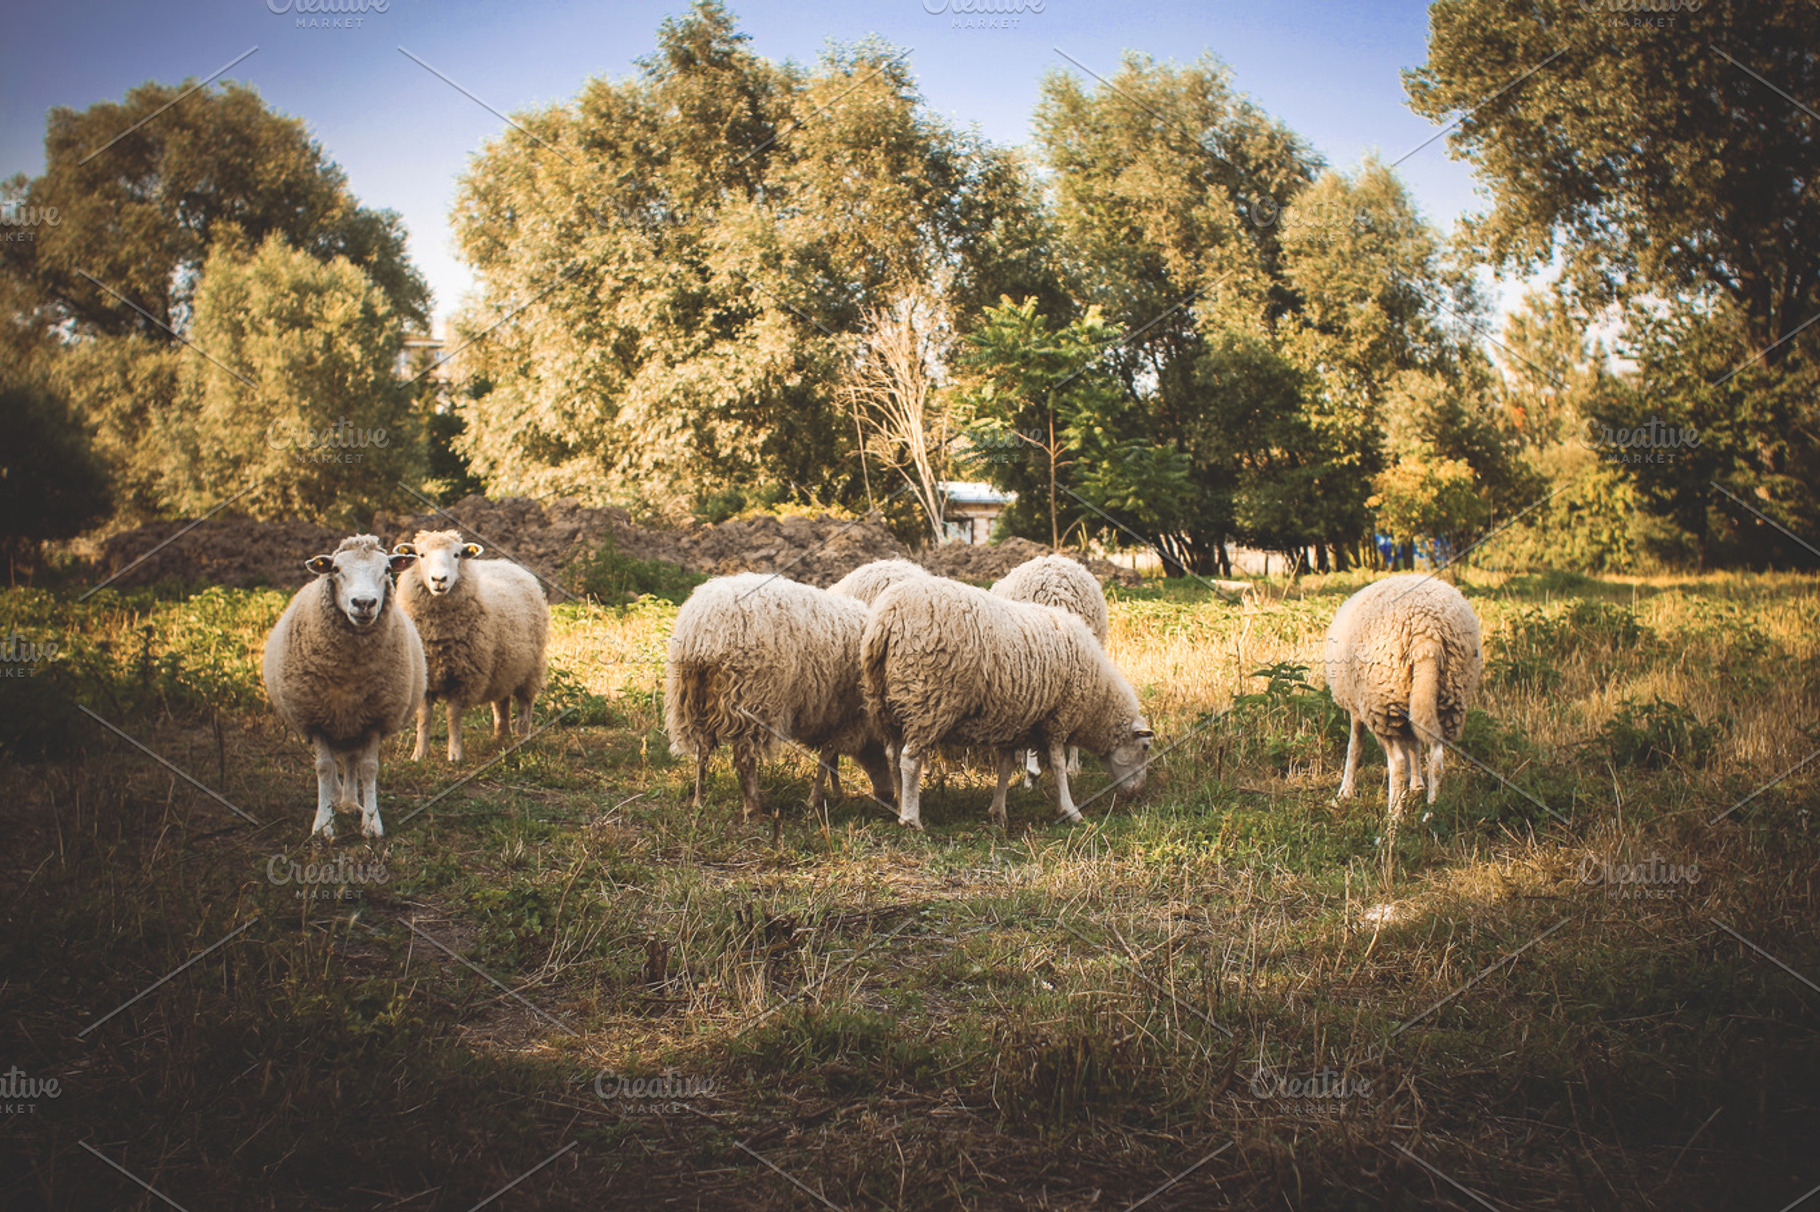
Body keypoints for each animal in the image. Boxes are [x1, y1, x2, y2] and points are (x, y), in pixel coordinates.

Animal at [263, 535, 427, 842]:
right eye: (336, 569)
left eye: (387, 570)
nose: (364, 603)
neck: (350, 672)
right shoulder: (315, 719)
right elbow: (324, 768)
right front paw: (323, 824)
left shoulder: (375, 718)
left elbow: (368, 767)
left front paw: (372, 823)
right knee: (337, 767)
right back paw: (338, 798)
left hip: (353, 724)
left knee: (351, 762)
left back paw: (350, 802)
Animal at [392, 530, 550, 763]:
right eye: (421, 555)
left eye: (456, 554)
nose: (439, 580)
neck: (436, 633)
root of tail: (507, 564)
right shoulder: (424, 676)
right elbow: (424, 717)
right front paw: (419, 754)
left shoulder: (463, 676)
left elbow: (453, 715)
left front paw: (455, 754)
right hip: (504, 664)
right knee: (502, 702)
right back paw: (501, 737)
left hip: (531, 665)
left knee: (525, 702)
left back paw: (522, 737)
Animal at [664, 573, 894, 821]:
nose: (888, 797)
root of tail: (704, 628)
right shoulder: (846, 717)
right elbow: (827, 757)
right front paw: (815, 802)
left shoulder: (830, 716)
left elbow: (831, 760)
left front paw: (835, 794)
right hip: (754, 699)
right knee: (744, 758)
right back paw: (754, 809)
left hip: (690, 698)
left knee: (702, 749)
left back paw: (699, 802)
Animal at [862, 577, 1152, 830]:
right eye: (1146, 747)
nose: (1138, 794)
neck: (1098, 700)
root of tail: (887, 615)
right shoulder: (1058, 718)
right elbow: (1058, 766)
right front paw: (1071, 811)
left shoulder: (1013, 724)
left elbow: (1005, 767)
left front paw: (998, 813)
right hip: (927, 701)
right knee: (909, 760)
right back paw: (911, 819)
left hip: (888, 704)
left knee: (892, 756)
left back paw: (901, 805)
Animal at [1323, 574, 1484, 879]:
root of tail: (1427, 634)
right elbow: (1415, 747)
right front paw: (1417, 785)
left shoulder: (1358, 708)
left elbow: (1355, 748)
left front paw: (1344, 792)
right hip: (1447, 695)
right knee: (1436, 757)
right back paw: (1431, 813)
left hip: (1382, 699)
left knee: (1396, 761)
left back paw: (1392, 820)